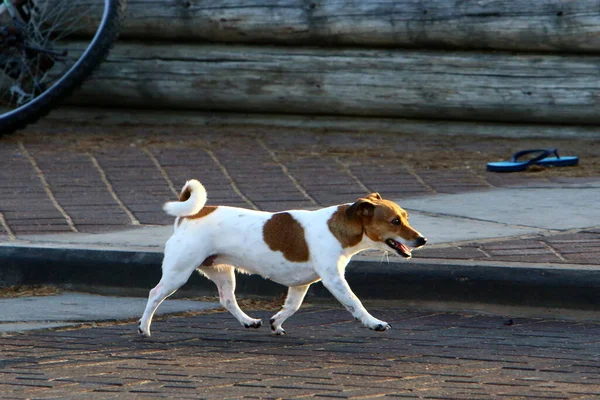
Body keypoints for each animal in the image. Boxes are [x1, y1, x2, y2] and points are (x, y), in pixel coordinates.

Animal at [137, 180, 426, 336]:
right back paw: (144, 328)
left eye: (406, 217)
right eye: (395, 221)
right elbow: (355, 304)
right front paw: (374, 323)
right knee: (155, 293)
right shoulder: (334, 280)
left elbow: (292, 306)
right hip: (178, 272)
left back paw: (248, 321)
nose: (422, 240)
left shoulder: (301, 284)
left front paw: (275, 323)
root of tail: (192, 214)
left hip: (223, 272)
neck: (338, 228)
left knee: (227, 300)